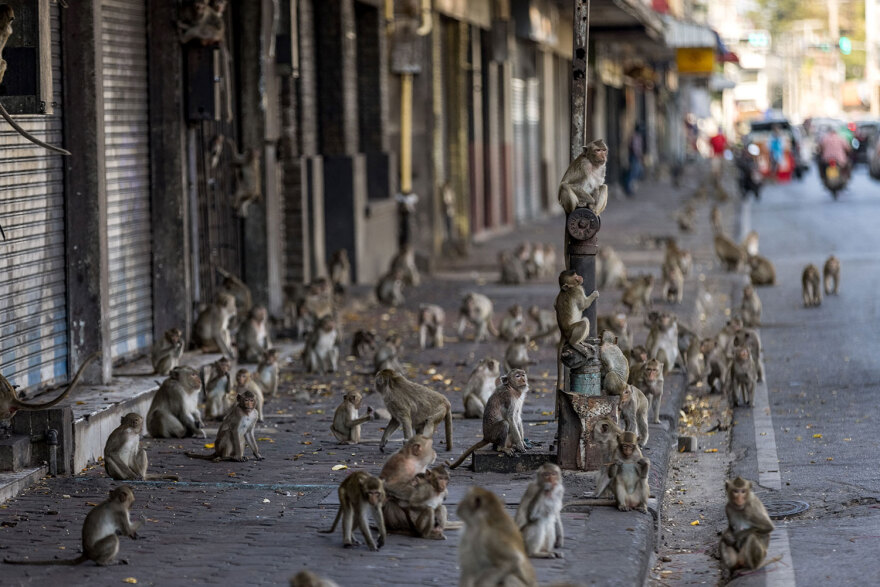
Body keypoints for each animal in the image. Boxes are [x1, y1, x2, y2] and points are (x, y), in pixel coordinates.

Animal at [3, 484, 142, 568]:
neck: (114, 501)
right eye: (132, 503)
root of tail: (87, 553)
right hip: (97, 550)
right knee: (113, 539)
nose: (132, 506)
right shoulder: (121, 512)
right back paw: (103, 562)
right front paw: (142, 521)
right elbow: (126, 530)